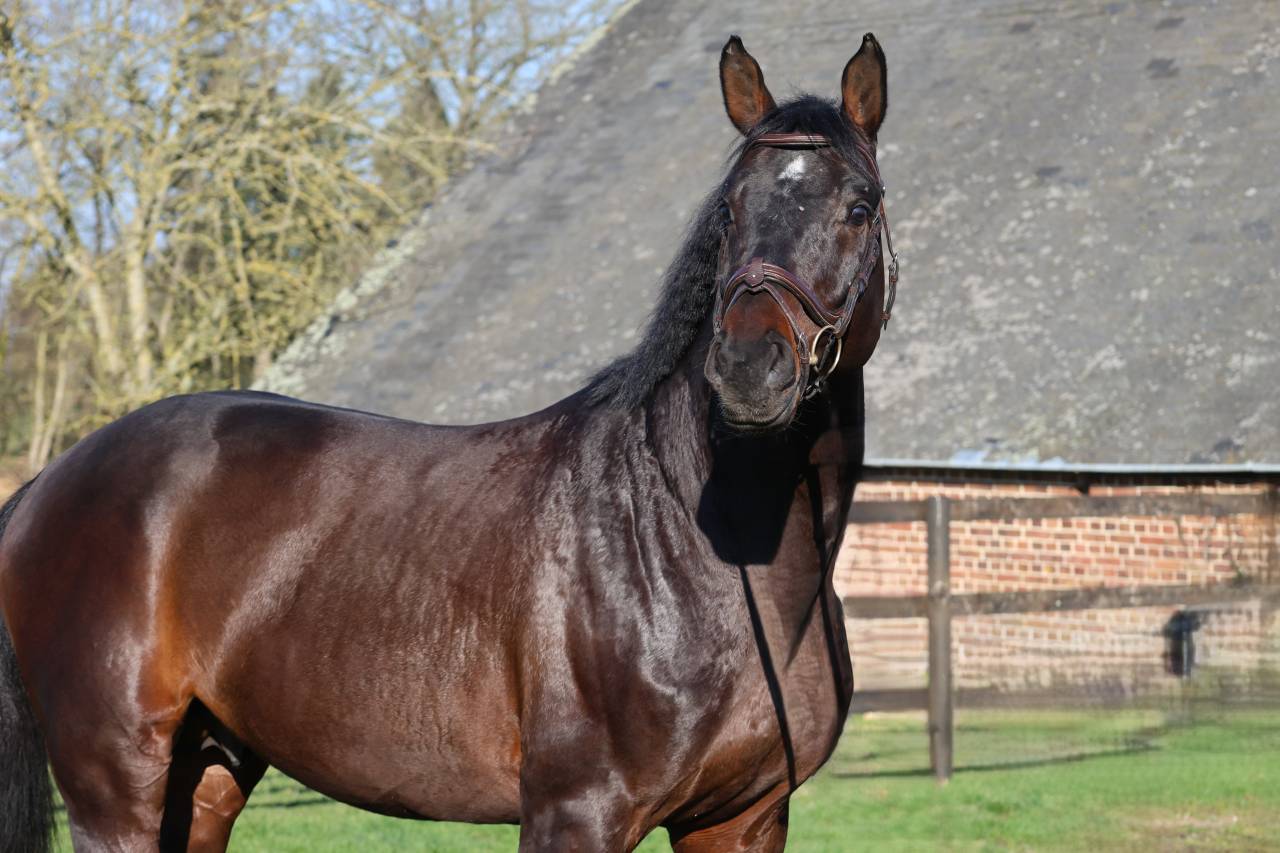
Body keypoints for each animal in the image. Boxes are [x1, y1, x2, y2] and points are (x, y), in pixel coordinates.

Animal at [0, 32, 894, 852]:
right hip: (116, 790)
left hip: (210, 767)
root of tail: (45, 484)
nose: (747, 368)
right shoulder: (577, 811)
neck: (697, 547)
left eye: (858, 207)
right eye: (728, 210)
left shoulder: (741, 817)